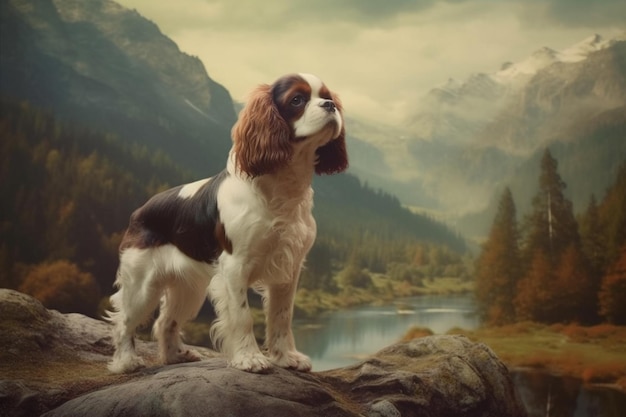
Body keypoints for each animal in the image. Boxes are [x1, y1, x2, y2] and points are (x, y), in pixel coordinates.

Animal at [107, 73, 348, 372]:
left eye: (327, 95)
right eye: (297, 99)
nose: (330, 105)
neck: (281, 188)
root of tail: (139, 211)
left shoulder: (288, 269)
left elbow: (281, 316)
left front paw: (286, 357)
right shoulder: (236, 266)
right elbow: (243, 316)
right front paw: (250, 358)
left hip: (189, 288)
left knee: (165, 321)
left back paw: (175, 356)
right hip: (142, 284)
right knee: (124, 321)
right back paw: (126, 361)